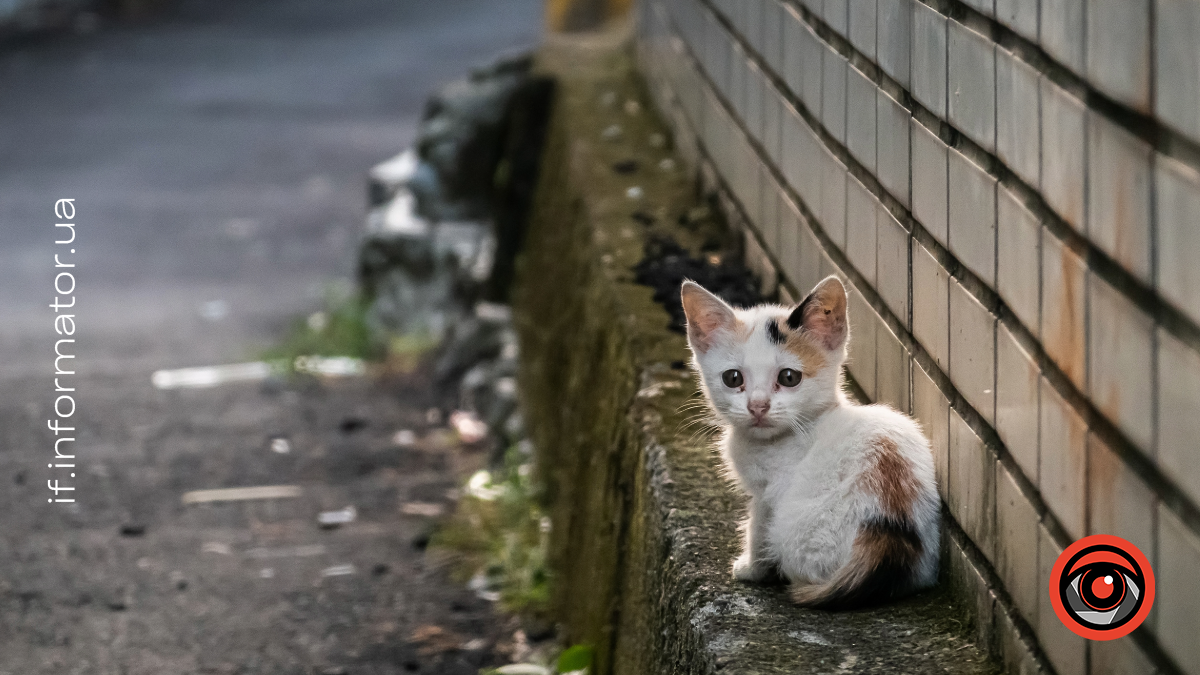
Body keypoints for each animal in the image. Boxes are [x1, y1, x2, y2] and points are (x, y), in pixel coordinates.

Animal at [681, 275, 940, 610]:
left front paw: (751, 567)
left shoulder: (769, 493)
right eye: (733, 378)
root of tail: (887, 537)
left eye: (789, 377)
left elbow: (757, 526)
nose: (758, 406)